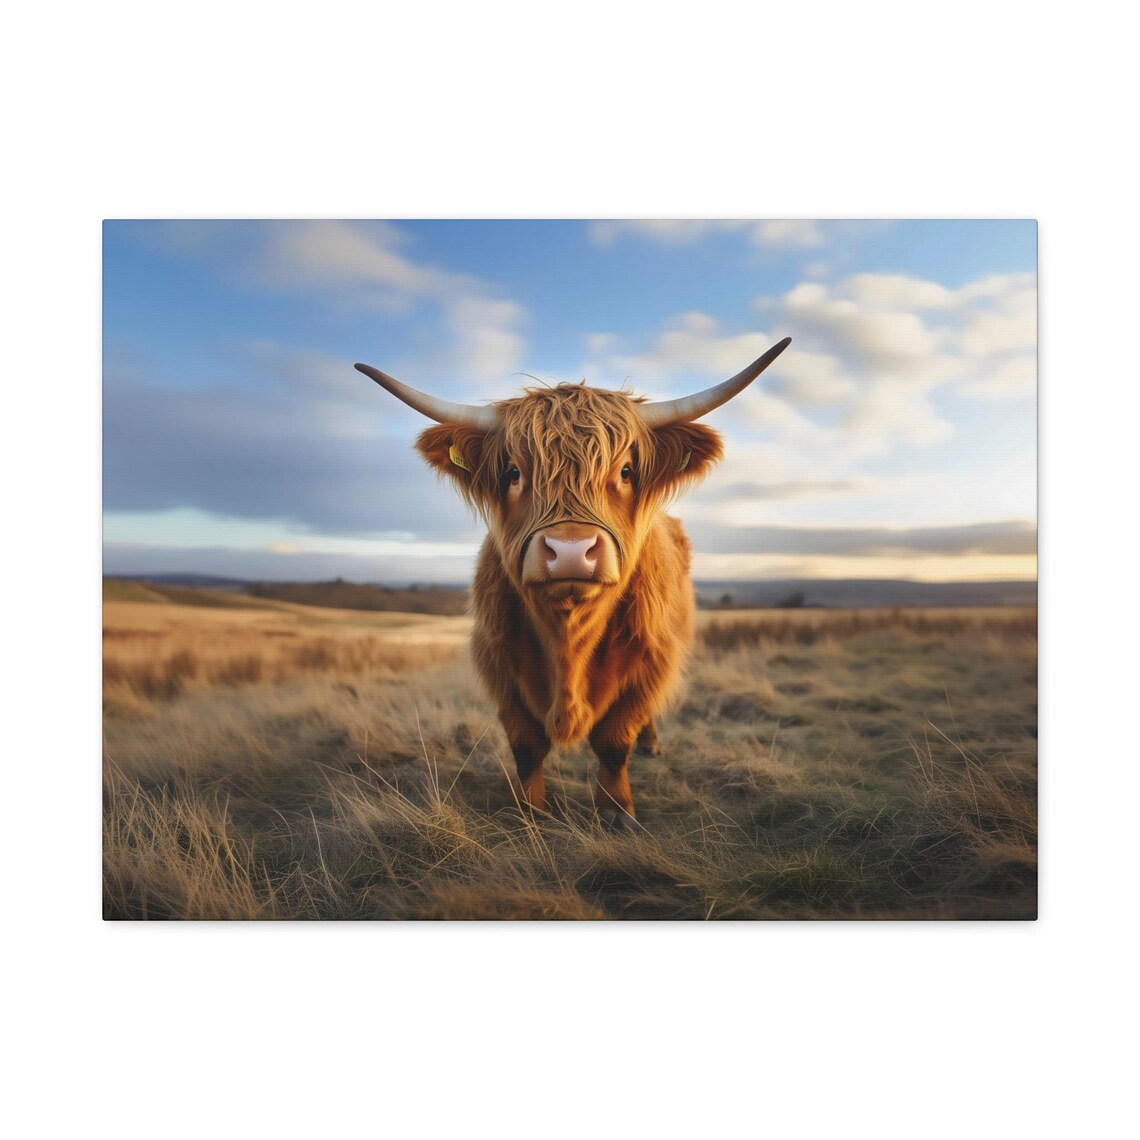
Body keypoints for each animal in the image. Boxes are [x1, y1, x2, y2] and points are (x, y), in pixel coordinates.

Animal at [356, 337, 791, 829]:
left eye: (625, 471)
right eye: (513, 472)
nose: (569, 550)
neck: (568, 639)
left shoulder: (650, 661)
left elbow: (615, 741)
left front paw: (616, 811)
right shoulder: (500, 666)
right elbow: (526, 747)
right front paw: (529, 812)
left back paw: (651, 744)